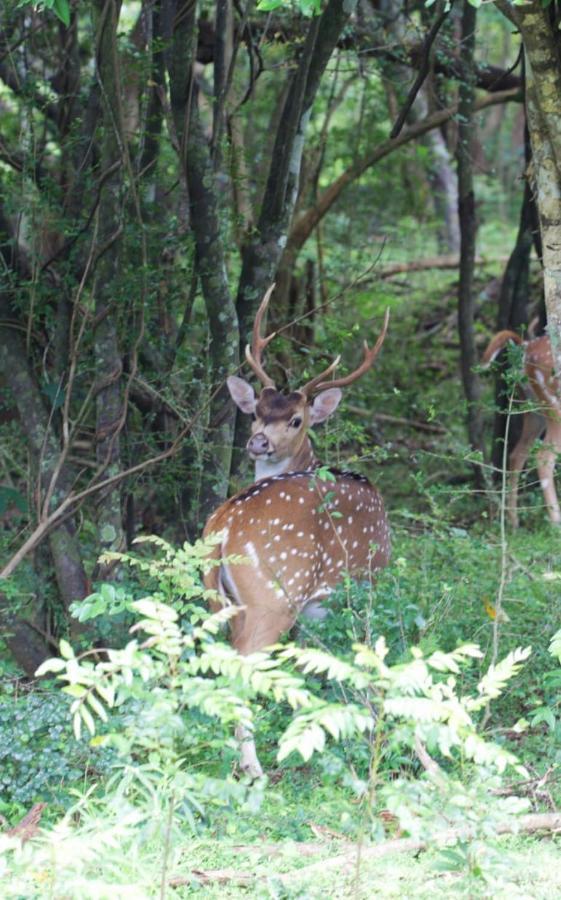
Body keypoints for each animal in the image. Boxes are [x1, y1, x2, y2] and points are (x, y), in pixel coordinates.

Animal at [203, 286, 392, 772]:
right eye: (255, 412)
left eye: (295, 419)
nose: (258, 441)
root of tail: (223, 521)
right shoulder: (363, 588)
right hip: (273, 596)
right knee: (241, 666)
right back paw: (253, 768)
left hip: (219, 597)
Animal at [482, 330, 560, 528]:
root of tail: (525, 347)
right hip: (554, 405)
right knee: (543, 457)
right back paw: (555, 522)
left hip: (533, 410)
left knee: (516, 454)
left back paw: (513, 521)